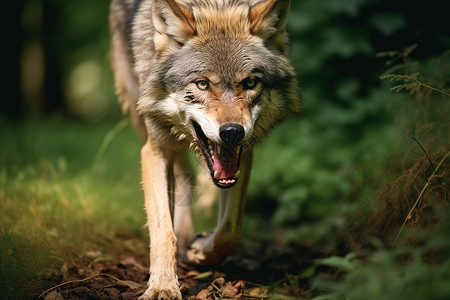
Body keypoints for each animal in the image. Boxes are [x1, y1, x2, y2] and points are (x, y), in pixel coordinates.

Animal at [108, 0, 302, 298]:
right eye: (202, 84)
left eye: (250, 83)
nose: (232, 132)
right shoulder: (155, 150)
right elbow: (163, 230)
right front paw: (163, 285)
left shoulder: (245, 154)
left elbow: (230, 231)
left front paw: (201, 251)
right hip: (138, 113)